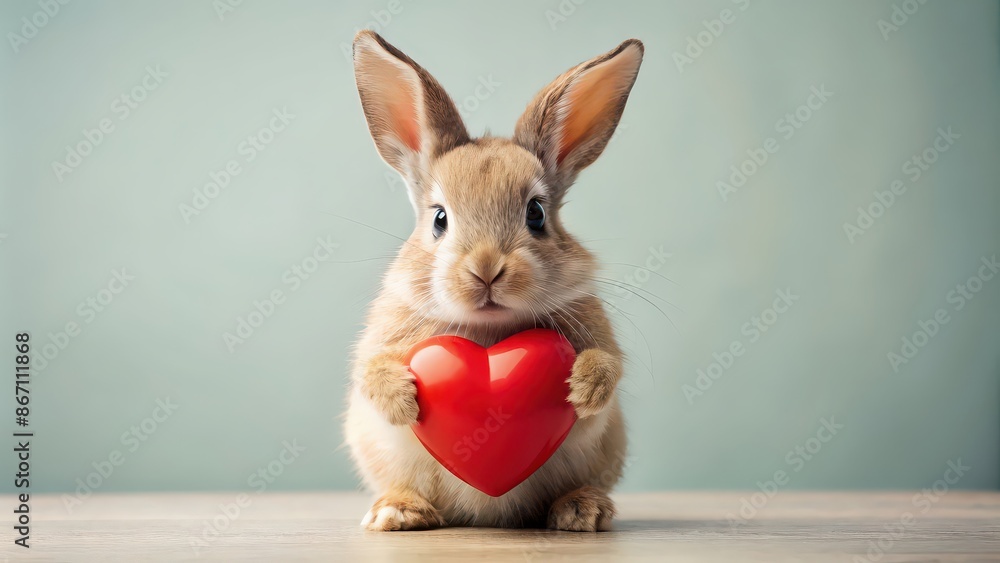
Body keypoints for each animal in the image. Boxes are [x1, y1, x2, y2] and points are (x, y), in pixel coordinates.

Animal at [344, 29, 640, 532]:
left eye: (536, 213)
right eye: (439, 219)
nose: (486, 268)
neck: (488, 329)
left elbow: (606, 368)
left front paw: (584, 386)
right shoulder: (379, 345)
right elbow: (371, 371)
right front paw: (402, 398)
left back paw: (582, 510)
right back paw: (398, 511)